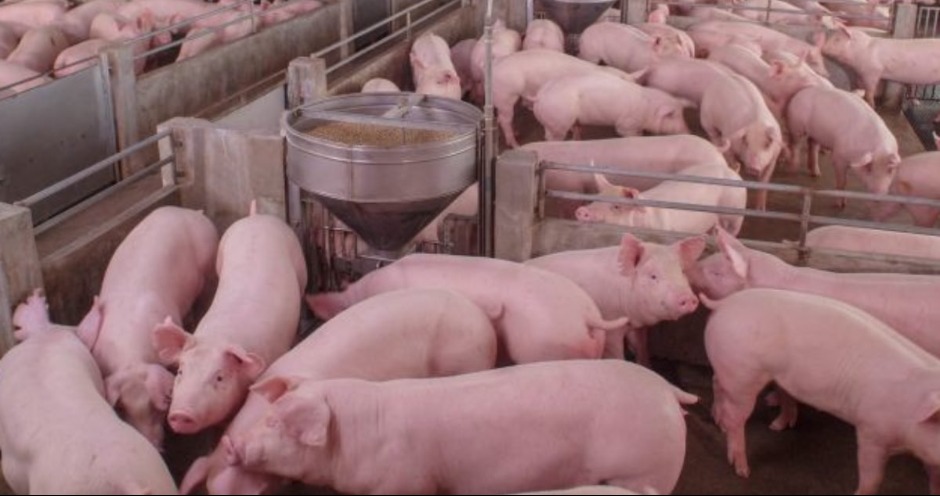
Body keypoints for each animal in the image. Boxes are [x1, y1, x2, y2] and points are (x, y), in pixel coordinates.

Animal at [76, 206, 219, 448]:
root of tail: (191, 212)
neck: (132, 360)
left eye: (155, 408)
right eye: (122, 409)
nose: (153, 445)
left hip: (209, 262)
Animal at [153, 210, 308, 435]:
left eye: (219, 377)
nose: (181, 414)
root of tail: (255, 217)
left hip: (300, 265)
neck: (218, 336)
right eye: (180, 372)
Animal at [525, 234, 705, 366]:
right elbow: (616, 354)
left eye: (682, 272)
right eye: (653, 275)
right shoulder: (611, 323)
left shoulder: (639, 327)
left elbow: (641, 348)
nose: (688, 298)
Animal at [532, 72, 692, 141]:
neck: (648, 110)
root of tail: (540, 95)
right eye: (672, 116)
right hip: (558, 120)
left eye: (682, 114)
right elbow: (626, 133)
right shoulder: (626, 124)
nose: (689, 132)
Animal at [703, 287, 940, 494]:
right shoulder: (871, 431)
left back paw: (759, 425)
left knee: (717, 383)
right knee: (736, 418)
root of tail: (724, 303)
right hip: (742, 375)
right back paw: (742, 469)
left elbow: (933, 479)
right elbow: (872, 476)